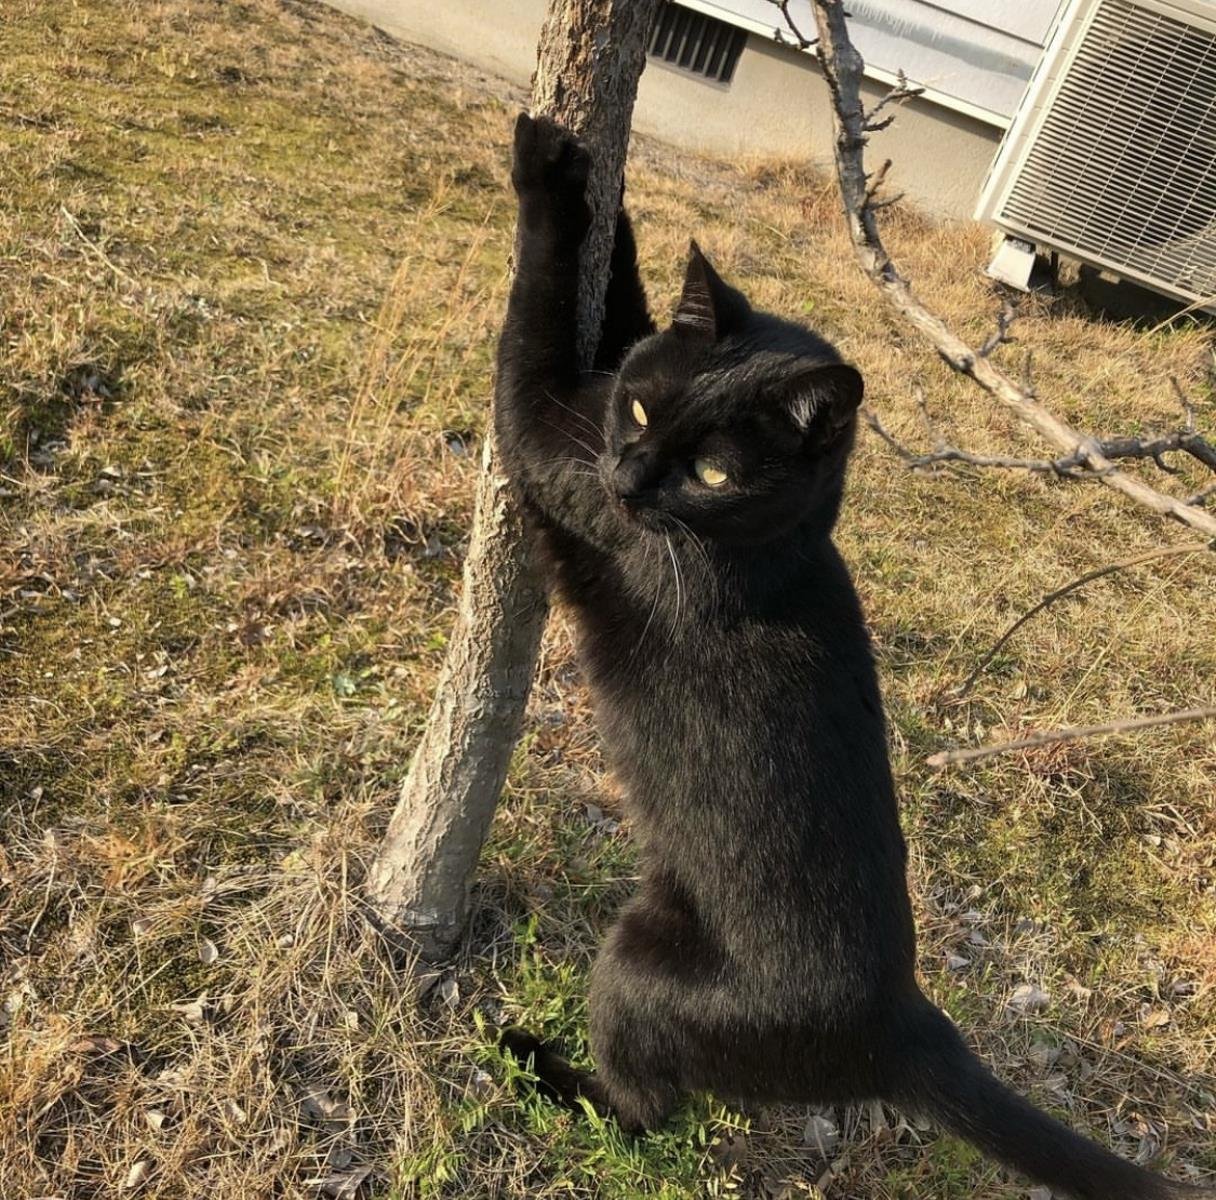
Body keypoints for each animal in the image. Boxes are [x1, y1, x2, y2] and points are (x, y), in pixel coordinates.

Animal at [493, 112, 1206, 1200]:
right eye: (643, 408)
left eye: (712, 473)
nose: (627, 478)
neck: (777, 546)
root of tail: (903, 1025)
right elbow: (616, 307)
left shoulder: (556, 449)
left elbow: (528, 347)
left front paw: (543, 171)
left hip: (637, 968)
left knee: (643, 1110)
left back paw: (541, 1070)